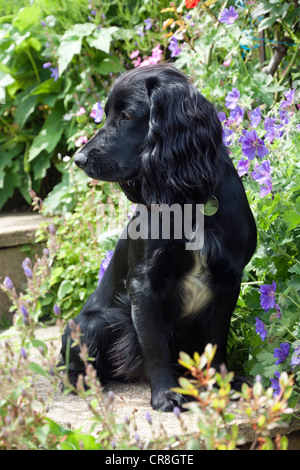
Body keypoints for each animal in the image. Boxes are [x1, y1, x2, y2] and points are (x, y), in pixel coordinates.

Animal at [60, 63, 255, 412]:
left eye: (126, 116)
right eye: (107, 114)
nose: (79, 159)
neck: (190, 200)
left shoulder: (228, 281)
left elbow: (217, 341)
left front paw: (221, 384)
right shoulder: (145, 284)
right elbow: (155, 345)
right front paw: (166, 394)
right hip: (90, 325)